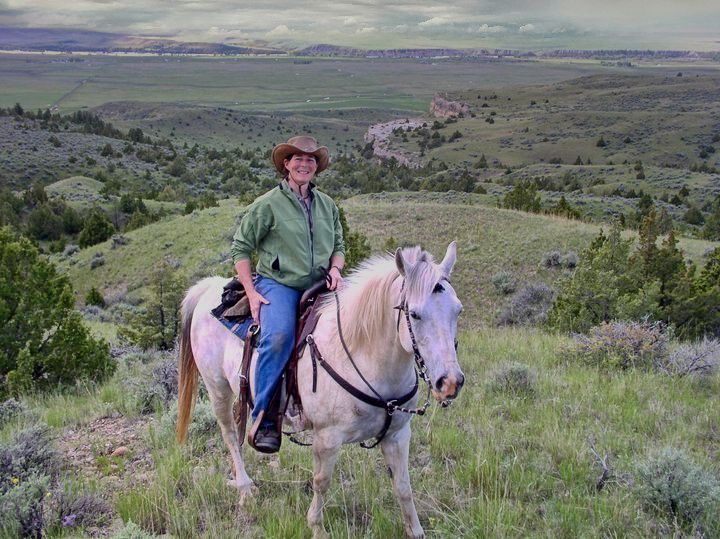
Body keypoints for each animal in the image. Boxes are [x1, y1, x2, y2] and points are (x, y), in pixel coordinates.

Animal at [176, 242, 465, 538]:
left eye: (458, 310)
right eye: (415, 314)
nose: (450, 382)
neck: (362, 352)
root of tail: (209, 287)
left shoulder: (398, 435)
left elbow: (404, 487)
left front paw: (415, 530)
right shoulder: (327, 438)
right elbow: (321, 482)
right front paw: (316, 527)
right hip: (217, 388)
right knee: (230, 435)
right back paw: (245, 488)